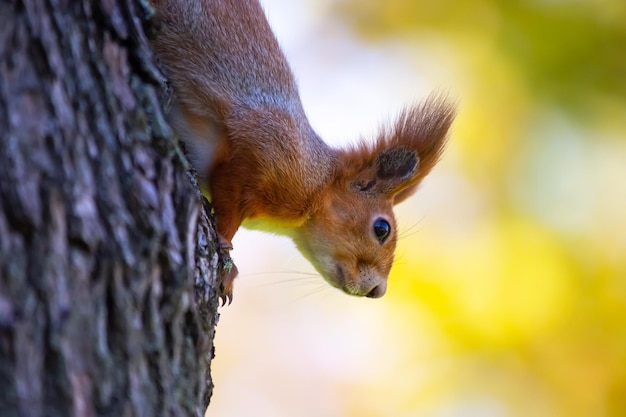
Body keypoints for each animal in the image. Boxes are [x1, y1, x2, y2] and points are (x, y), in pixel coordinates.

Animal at [151, 0, 454, 302]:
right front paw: (227, 258)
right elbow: (229, 205)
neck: (318, 184)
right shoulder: (262, 148)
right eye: (382, 229)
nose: (378, 291)